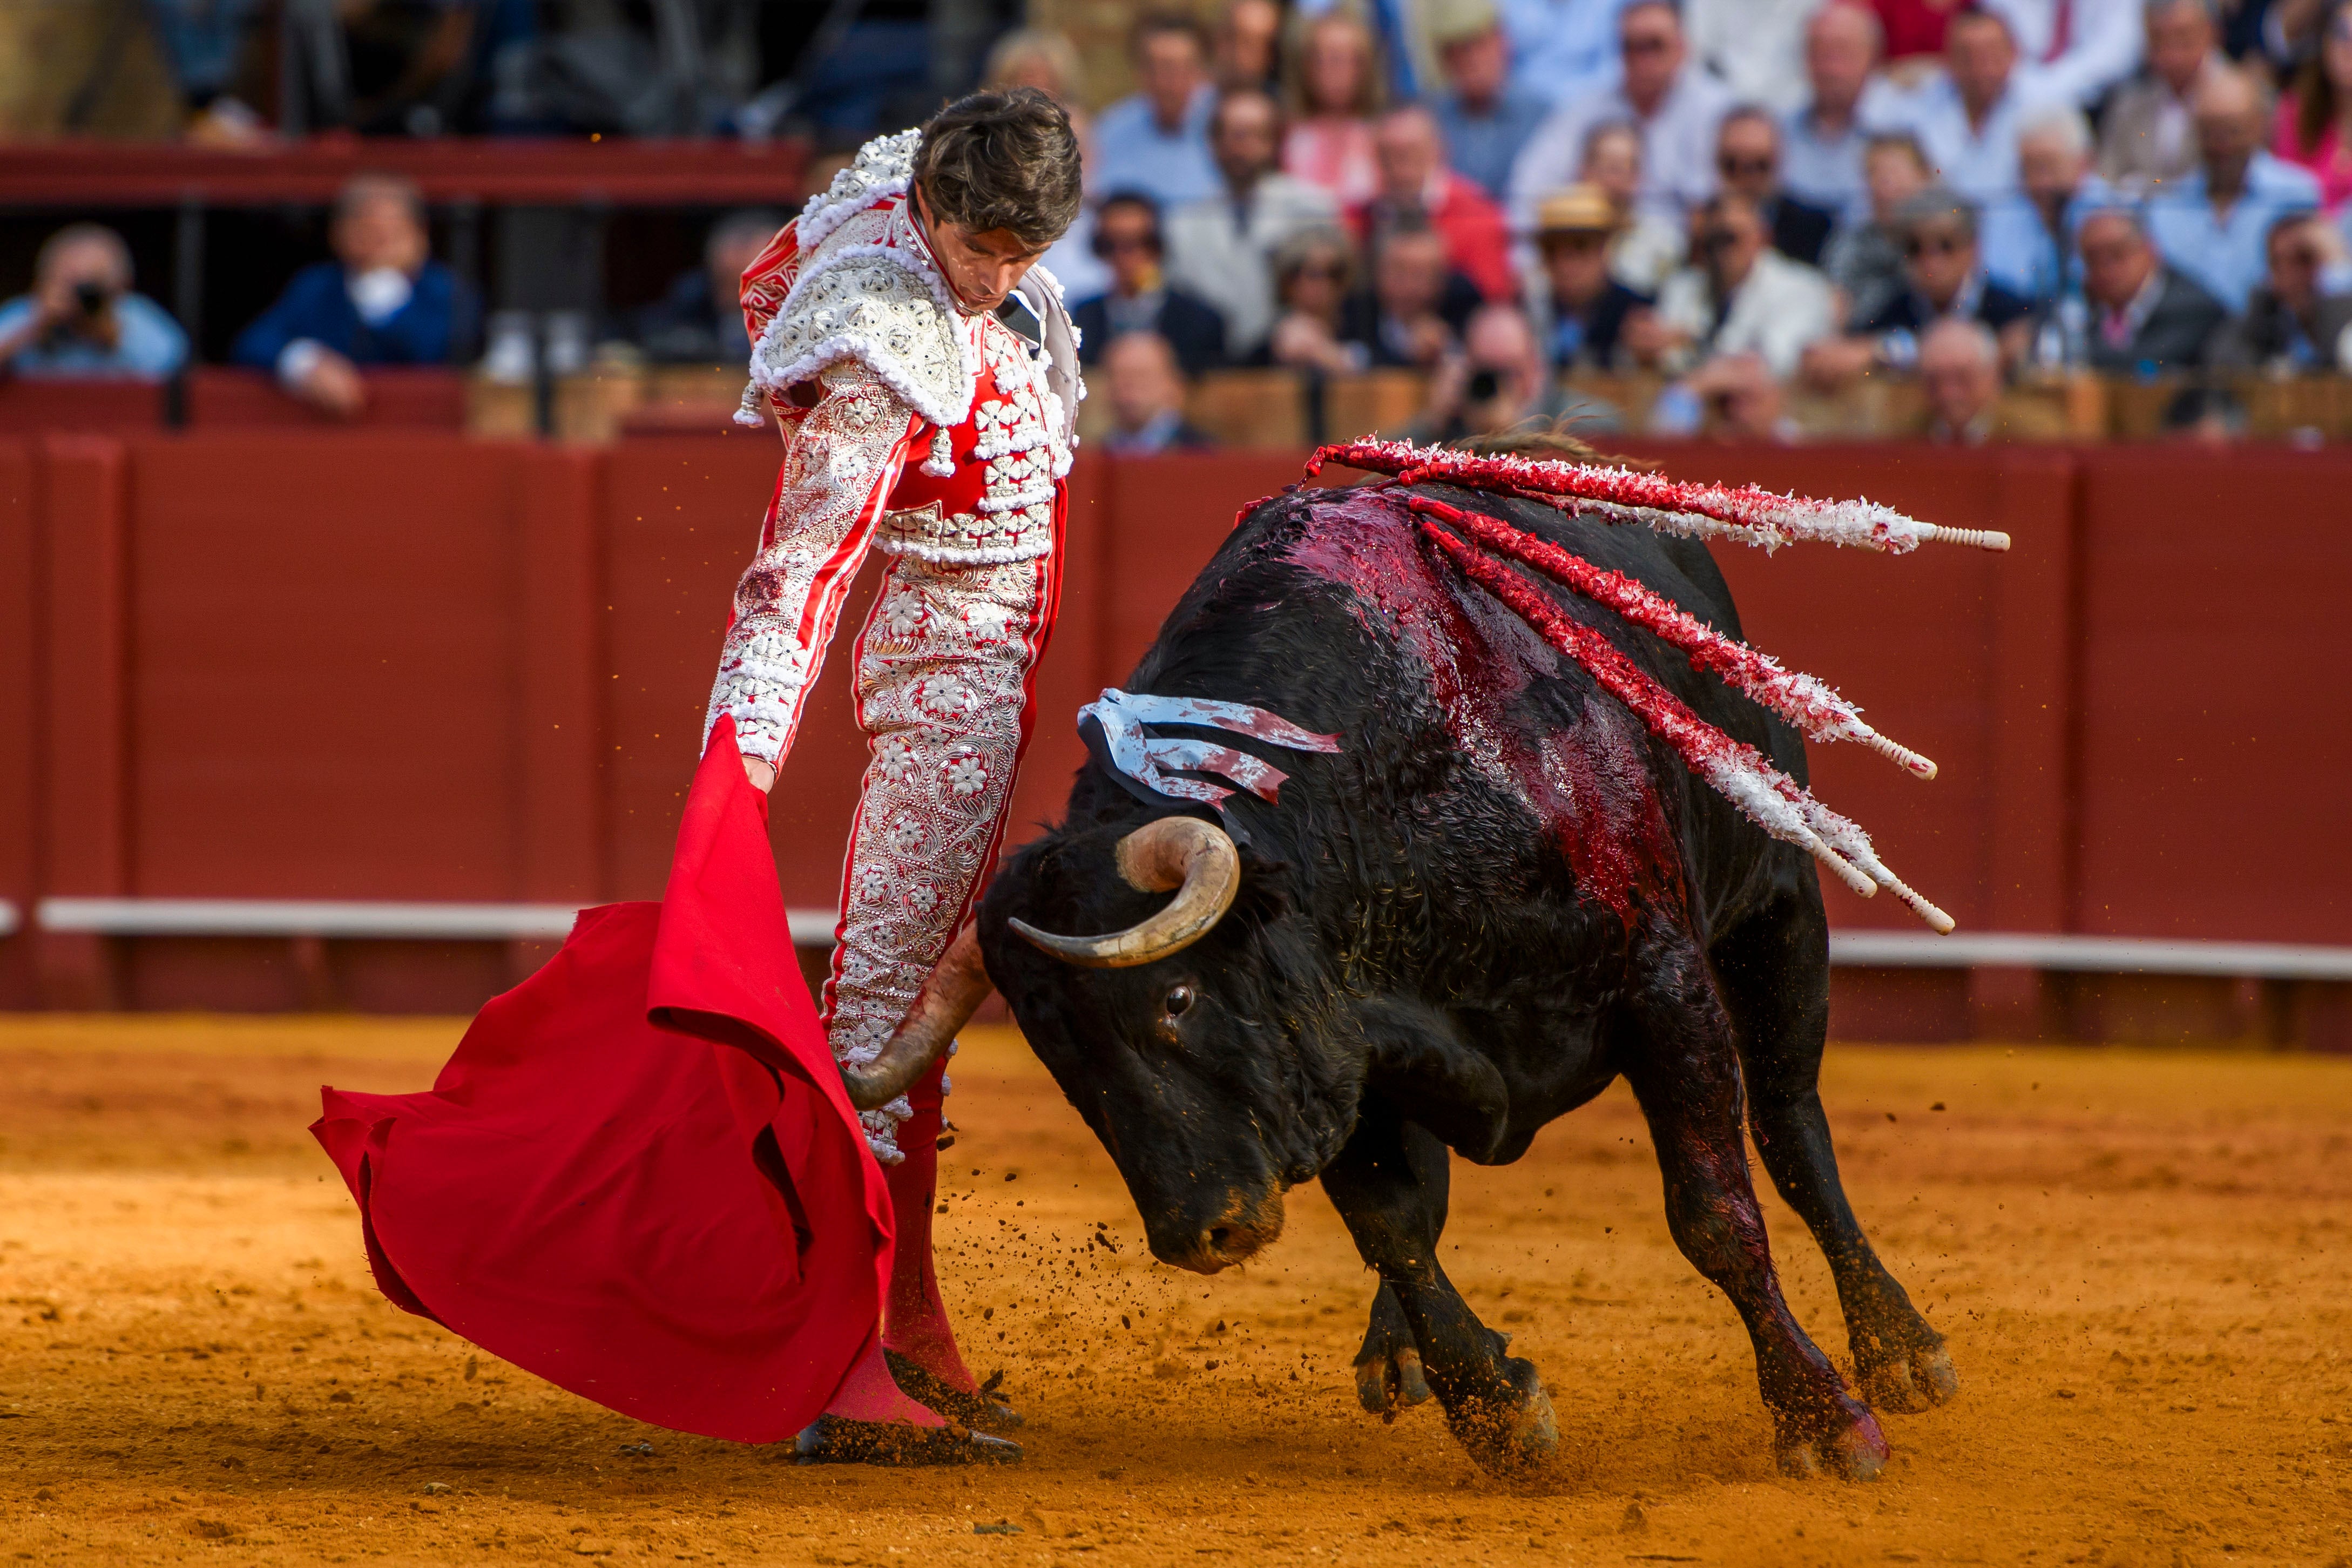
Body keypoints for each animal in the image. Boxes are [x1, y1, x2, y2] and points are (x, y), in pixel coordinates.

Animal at [842, 463, 1947, 1485]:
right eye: (1061, 1059)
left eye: (1177, 997)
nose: (1202, 1232)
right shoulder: (1341, 1048)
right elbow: (1396, 1230)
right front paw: (1496, 1408)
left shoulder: (1662, 983)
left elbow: (1715, 1213)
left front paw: (1824, 1420)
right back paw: (1399, 1354)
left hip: (1777, 905)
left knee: (1793, 1127)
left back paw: (1900, 1350)